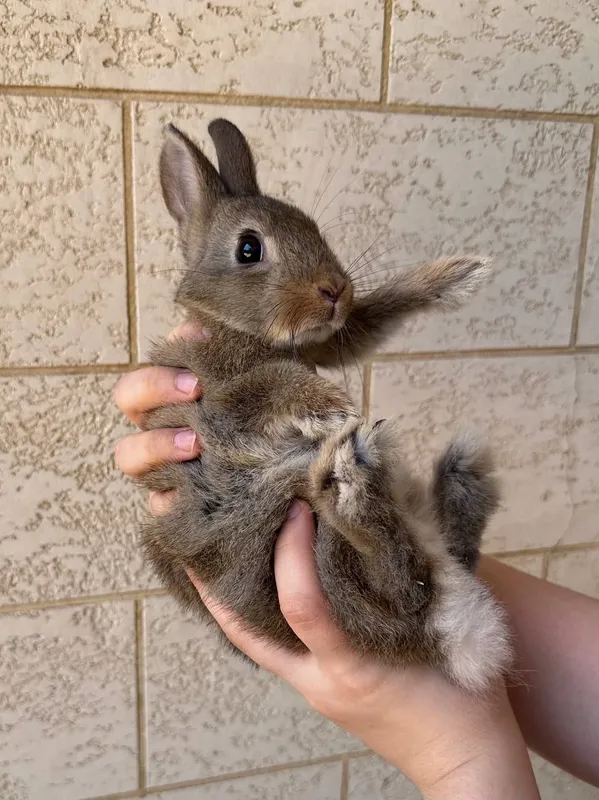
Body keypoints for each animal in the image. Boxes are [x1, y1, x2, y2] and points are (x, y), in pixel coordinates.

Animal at [138, 118, 512, 694]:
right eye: (249, 249)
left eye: (313, 228)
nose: (334, 290)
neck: (233, 325)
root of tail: (453, 641)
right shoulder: (217, 400)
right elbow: (266, 384)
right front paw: (332, 406)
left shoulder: (328, 343)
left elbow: (375, 314)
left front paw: (456, 275)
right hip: (305, 549)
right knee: (402, 588)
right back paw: (355, 481)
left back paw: (452, 476)